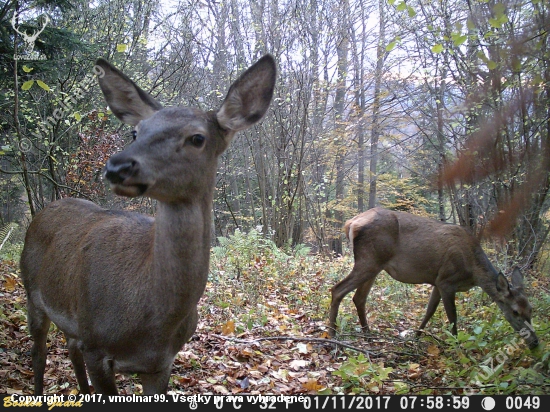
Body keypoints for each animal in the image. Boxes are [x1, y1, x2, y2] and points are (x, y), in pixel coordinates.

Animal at [19, 53, 278, 394]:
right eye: (135, 132)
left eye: (197, 137)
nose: (118, 166)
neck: (153, 321)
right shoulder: (96, 345)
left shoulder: (160, 363)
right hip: (31, 290)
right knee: (39, 353)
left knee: (70, 348)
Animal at [330, 208, 540, 350]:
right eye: (515, 311)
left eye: (531, 309)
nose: (535, 342)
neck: (472, 270)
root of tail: (351, 223)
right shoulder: (447, 280)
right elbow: (453, 317)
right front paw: (456, 346)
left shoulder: (437, 281)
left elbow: (429, 311)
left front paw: (416, 337)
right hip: (369, 261)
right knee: (337, 290)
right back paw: (332, 335)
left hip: (375, 265)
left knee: (359, 298)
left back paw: (368, 335)